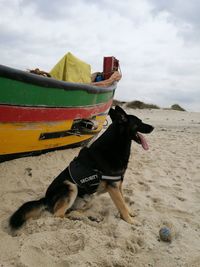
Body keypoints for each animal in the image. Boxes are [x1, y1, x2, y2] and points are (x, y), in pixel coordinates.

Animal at [8, 104, 154, 230]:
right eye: (139, 122)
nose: (153, 127)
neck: (115, 144)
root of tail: (45, 198)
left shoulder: (118, 184)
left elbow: (124, 201)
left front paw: (131, 213)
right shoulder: (113, 187)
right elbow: (121, 205)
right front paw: (131, 221)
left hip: (89, 197)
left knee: (71, 211)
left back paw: (90, 217)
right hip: (71, 186)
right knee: (58, 214)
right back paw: (79, 219)